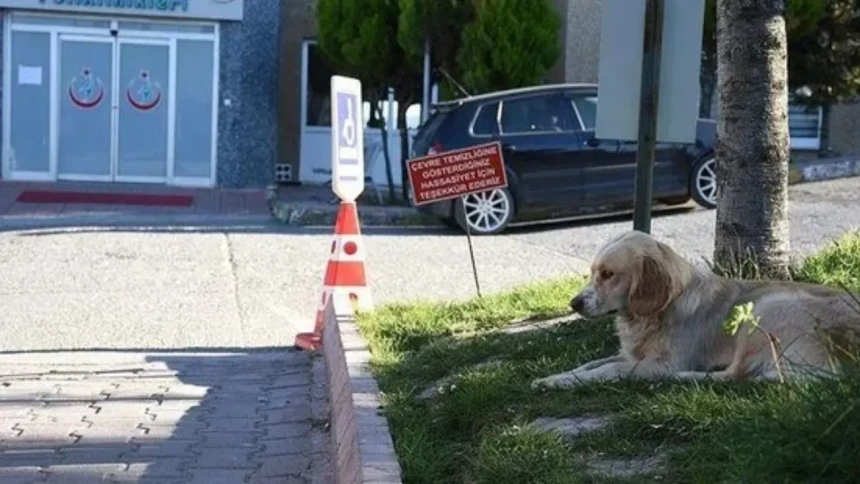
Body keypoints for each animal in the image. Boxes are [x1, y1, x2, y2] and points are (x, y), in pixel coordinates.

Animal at [532, 229, 860, 392]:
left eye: (608, 274)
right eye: (592, 272)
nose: (574, 303)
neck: (655, 313)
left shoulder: (663, 362)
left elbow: (609, 369)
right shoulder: (631, 355)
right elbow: (590, 364)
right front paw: (553, 378)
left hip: (768, 307)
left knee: (734, 376)